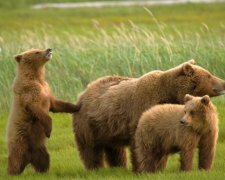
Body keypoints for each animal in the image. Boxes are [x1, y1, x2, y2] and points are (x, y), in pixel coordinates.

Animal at [72, 60, 225, 170]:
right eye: (209, 75)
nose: (223, 82)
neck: (169, 93)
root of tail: (83, 93)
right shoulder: (142, 107)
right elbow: (140, 141)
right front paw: (142, 168)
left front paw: (160, 166)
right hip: (89, 124)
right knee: (90, 148)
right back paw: (95, 167)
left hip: (108, 128)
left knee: (115, 149)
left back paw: (119, 166)